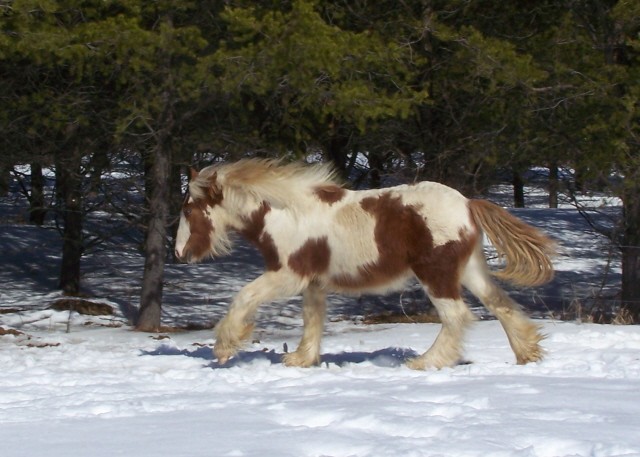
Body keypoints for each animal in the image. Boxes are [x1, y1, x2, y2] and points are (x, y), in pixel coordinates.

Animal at [174, 159, 556, 368]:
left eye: (188, 209)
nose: (179, 253)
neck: (285, 214)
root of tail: (467, 204)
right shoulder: (314, 282)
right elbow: (312, 319)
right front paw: (301, 359)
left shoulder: (288, 275)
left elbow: (243, 296)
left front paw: (224, 347)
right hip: (469, 270)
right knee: (501, 305)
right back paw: (528, 354)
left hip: (436, 274)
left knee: (457, 316)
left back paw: (425, 362)